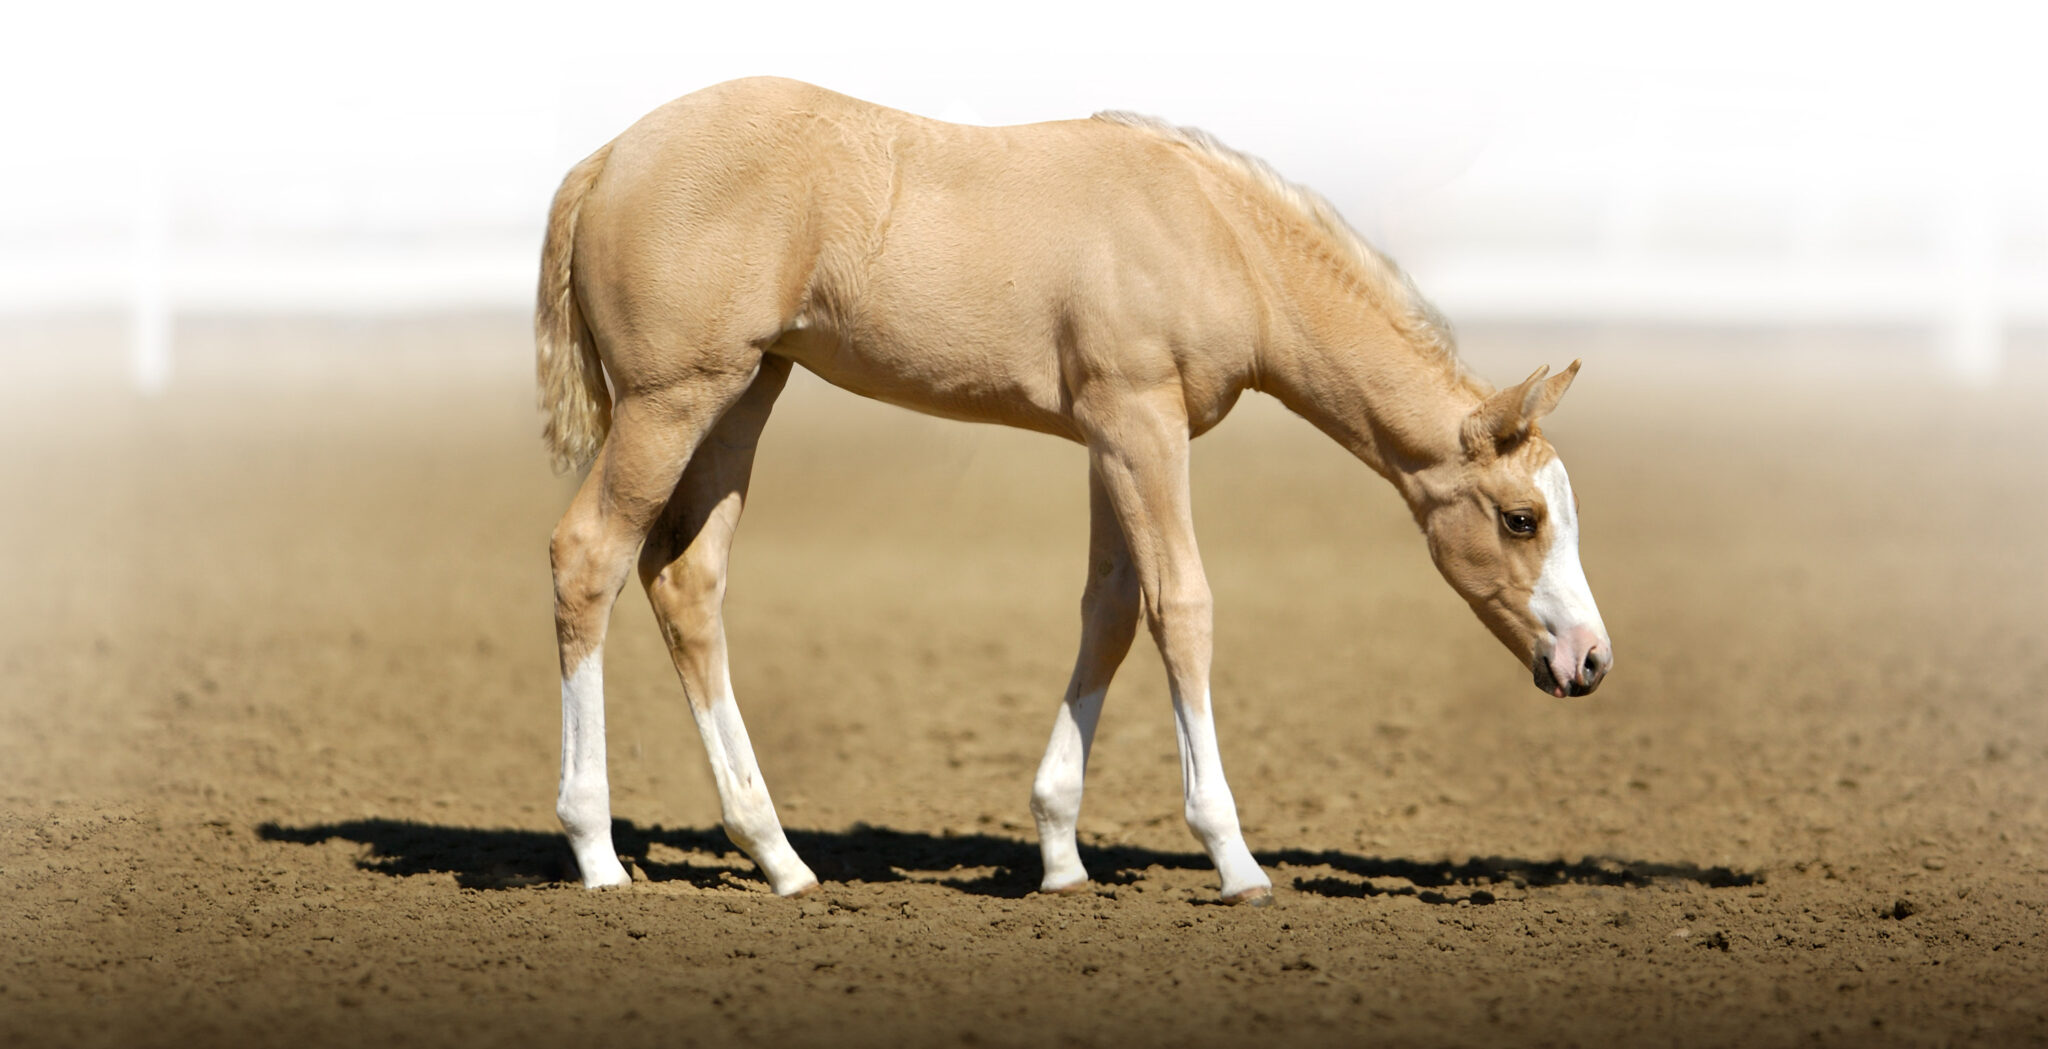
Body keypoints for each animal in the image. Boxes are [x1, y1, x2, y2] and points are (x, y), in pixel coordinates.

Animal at [535, 77, 1612, 906]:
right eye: (1520, 518)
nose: (1589, 660)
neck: (1216, 234)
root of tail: (605, 160)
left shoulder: (1108, 438)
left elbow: (1110, 611)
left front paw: (1058, 852)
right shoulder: (1141, 423)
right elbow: (1182, 607)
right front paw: (1234, 859)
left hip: (747, 390)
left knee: (687, 579)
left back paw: (781, 859)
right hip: (671, 399)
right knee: (589, 555)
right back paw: (596, 853)